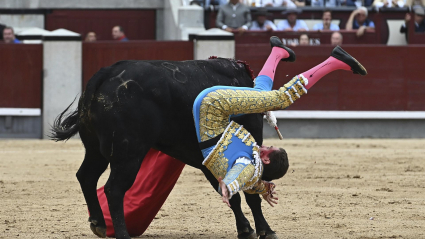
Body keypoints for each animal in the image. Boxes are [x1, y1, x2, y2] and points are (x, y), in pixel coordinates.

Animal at [51, 58, 278, 239]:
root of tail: (106, 73)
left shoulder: (209, 160)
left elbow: (232, 193)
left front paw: (246, 229)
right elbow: (249, 194)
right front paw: (265, 230)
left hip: (95, 149)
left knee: (87, 176)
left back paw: (98, 223)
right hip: (128, 153)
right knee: (113, 189)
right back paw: (122, 234)